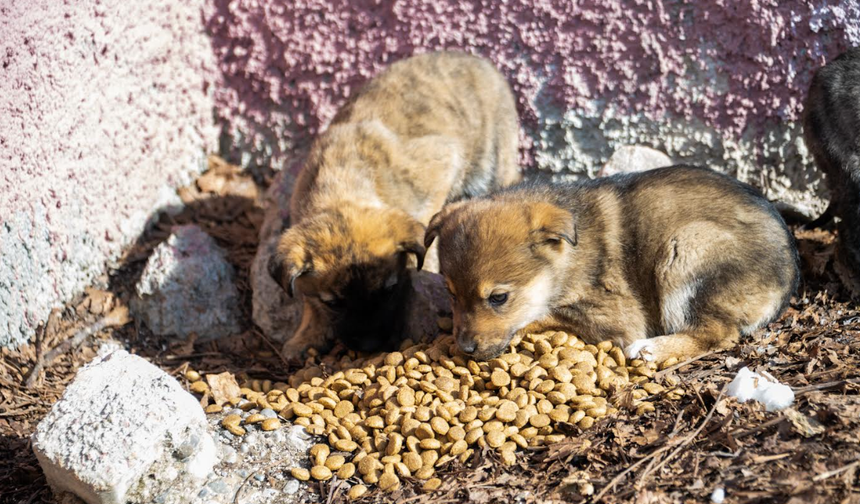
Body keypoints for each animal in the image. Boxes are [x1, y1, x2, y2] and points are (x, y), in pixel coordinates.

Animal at [268, 51, 520, 356]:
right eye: (333, 303)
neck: (343, 182)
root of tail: (472, 56)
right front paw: (307, 335)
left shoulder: (442, 163)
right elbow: (308, 301)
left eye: (389, 290)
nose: (370, 347)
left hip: (493, 162)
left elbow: (426, 234)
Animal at [426, 165, 804, 362]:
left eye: (499, 298)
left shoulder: (617, 313)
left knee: (717, 333)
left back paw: (653, 349)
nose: (465, 349)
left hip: (687, 246)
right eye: (451, 294)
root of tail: (789, 275)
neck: (568, 258)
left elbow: (543, 315)